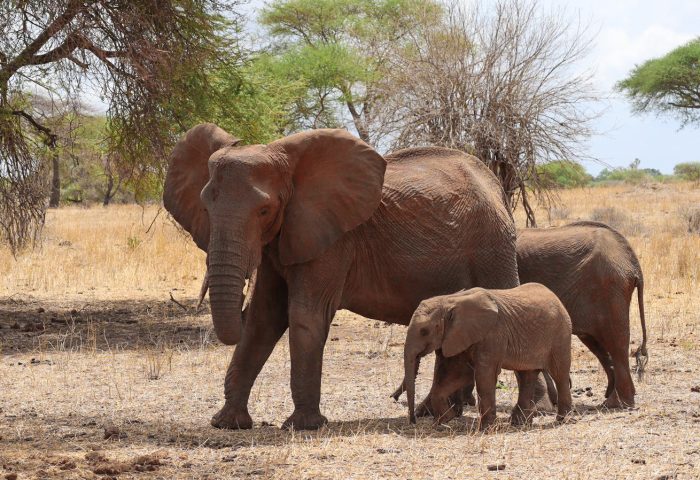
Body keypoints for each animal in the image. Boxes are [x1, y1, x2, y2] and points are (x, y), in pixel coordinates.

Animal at [163, 123, 519, 430]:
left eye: (264, 210)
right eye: (205, 208)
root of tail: (495, 184)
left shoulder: (332, 239)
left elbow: (305, 314)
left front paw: (304, 426)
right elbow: (263, 317)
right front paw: (227, 423)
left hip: (493, 248)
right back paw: (436, 413)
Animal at [403, 284, 573, 429]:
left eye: (424, 331)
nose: (413, 421)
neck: (450, 300)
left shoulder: (493, 334)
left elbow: (484, 375)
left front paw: (485, 428)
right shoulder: (457, 336)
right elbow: (456, 374)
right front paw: (445, 419)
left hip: (561, 333)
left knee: (560, 374)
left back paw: (563, 420)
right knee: (526, 375)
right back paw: (520, 423)